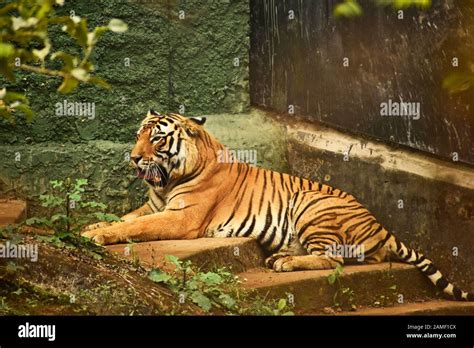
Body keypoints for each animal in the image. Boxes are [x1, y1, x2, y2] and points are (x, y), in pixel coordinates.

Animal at [82, 110, 474, 300]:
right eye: (138, 134)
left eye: (157, 139)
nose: (133, 158)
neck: (168, 181)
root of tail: (382, 226)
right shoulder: (154, 206)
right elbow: (123, 217)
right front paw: (92, 226)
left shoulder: (180, 218)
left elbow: (133, 226)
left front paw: (93, 237)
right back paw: (280, 257)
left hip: (313, 205)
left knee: (332, 260)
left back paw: (284, 263)